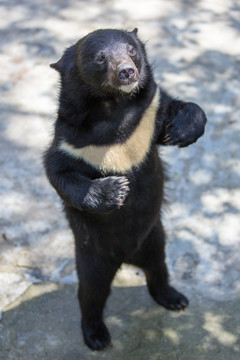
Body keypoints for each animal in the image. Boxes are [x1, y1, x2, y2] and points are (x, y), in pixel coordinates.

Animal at [44, 28, 207, 352]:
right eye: (99, 58)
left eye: (131, 50)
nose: (127, 72)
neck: (113, 110)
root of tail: (126, 259)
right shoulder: (70, 141)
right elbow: (60, 173)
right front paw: (115, 189)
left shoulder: (149, 115)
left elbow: (176, 107)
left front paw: (183, 130)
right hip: (92, 254)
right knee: (91, 294)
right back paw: (97, 336)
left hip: (154, 237)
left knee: (158, 268)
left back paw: (175, 299)